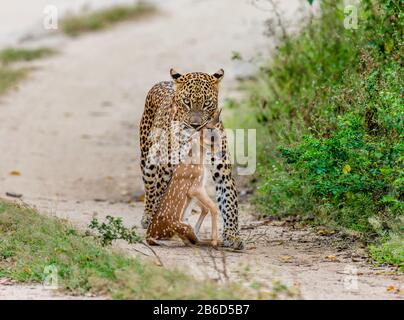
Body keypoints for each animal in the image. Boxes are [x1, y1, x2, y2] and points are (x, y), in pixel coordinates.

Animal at [140, 69, 243, 249]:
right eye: (186, 102)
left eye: (206, 103)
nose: (195, 125)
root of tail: (164, 82)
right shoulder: (166, 170)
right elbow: (162, 198)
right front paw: (158, 226)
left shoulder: (223, 172)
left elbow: (229, 202)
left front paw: (232, 235)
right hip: (148, 163)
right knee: (151, 191)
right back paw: (148, 217)